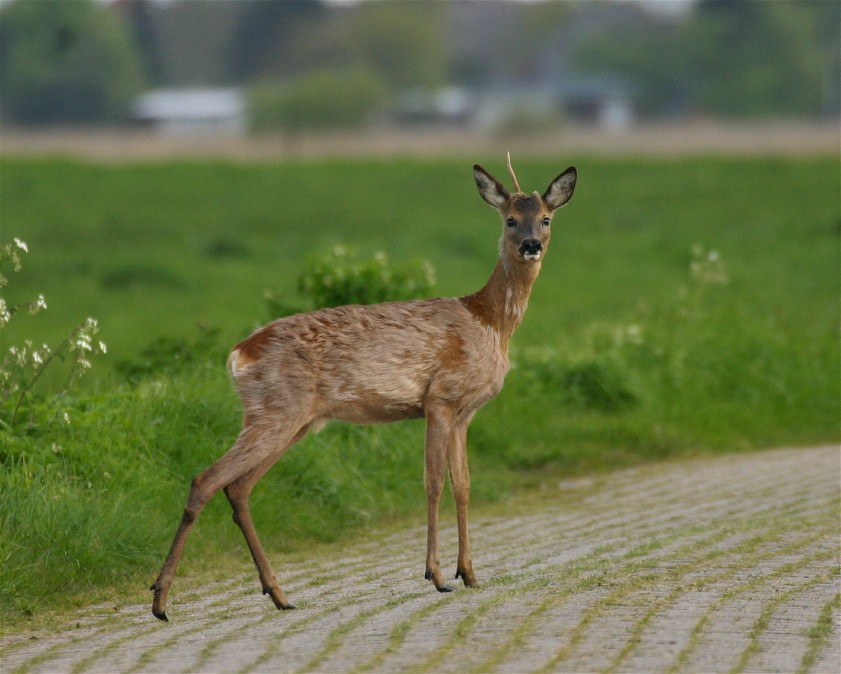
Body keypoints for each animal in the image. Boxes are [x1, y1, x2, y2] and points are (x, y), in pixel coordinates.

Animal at [148, 155, 576, 616]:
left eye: (546, 219)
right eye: (510, 219)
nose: (531, 244)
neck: (489, 321)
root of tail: (238, 354)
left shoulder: (465, 412)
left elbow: (463, 485)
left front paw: (470, 574)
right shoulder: (440, 398)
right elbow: (433, 483)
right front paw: (437, 575)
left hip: (293, 420)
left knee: (238, 486)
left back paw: (279, 594)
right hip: (275, 409)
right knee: (206, 479)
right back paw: (161, 600)